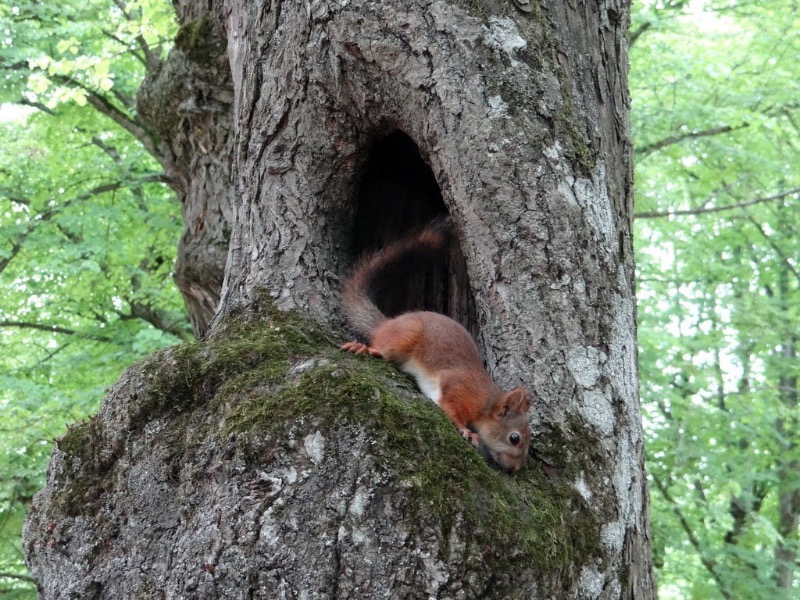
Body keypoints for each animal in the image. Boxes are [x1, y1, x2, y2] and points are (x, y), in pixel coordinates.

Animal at [340, 219, 532, 474]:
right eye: (514, 438)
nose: (515, 469)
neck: (486, 400)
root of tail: (387, 324)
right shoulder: (458, 388)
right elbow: (451, 408)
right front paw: (467, 431)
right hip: (405, 336)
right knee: (382, 347)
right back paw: (368, 349)